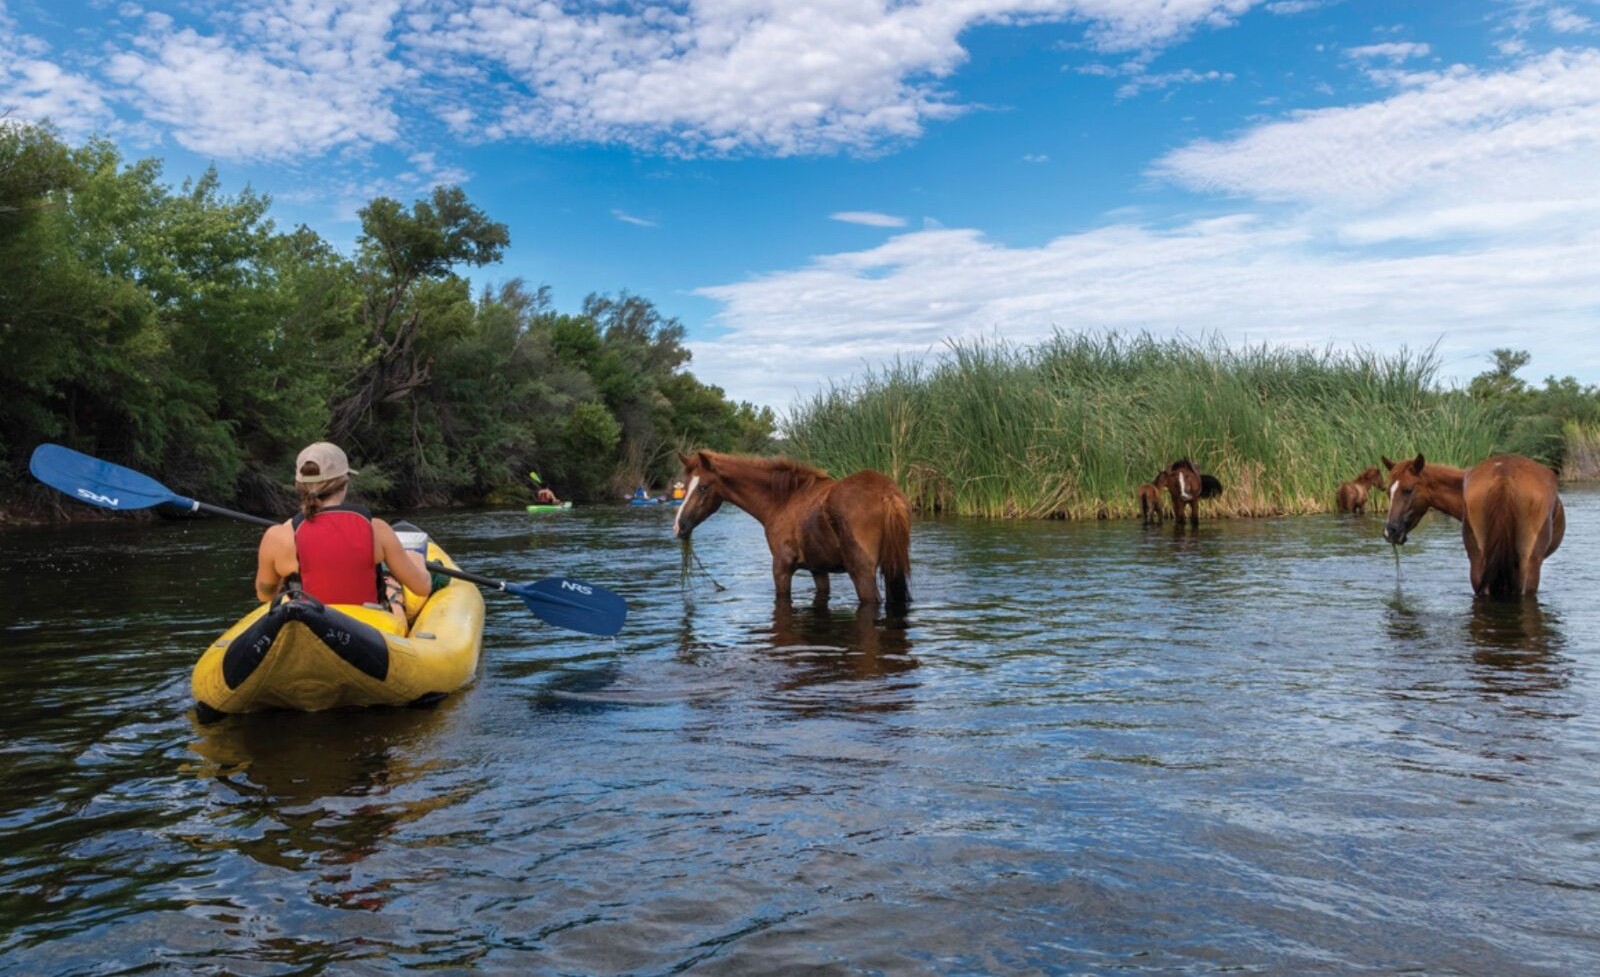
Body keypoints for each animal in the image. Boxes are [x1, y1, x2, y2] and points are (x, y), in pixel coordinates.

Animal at [673, 450, 911, 609]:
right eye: (684, 486)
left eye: (703, 487)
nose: (679, 526)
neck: (783, 500)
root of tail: (887, 495)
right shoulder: (818, 569)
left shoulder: (782, 567)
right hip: (893, 568)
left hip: (862, 573)